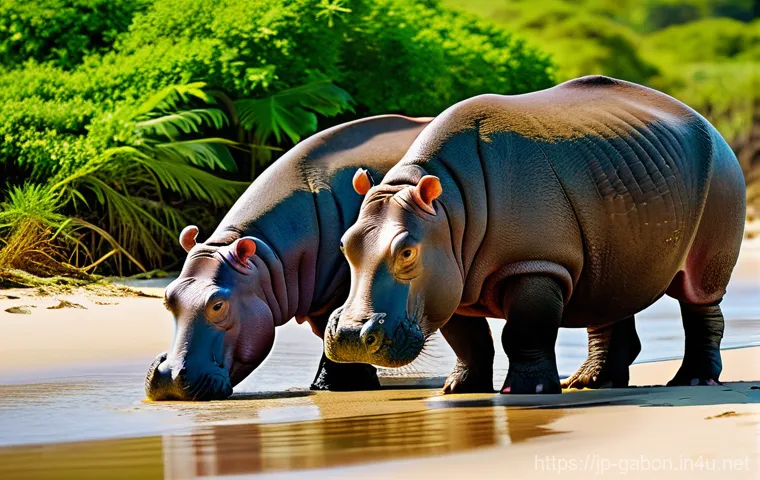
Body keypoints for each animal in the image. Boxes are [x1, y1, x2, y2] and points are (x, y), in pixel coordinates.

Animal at [145, 114, 431, 400]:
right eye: (168, 297)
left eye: (217, 304)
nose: (169, 378)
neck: (264, 259)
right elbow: (328, 333)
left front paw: (341, 385)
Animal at [325, 76, 746, 395]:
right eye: (343, 246)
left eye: (407, 253)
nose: (349, 337)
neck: (447, 212)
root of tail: (708, 122)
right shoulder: (448, 274)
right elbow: (467, 339)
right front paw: (459, 389)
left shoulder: (535, 263)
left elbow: (524, 330)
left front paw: (528, 391)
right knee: (610, 288)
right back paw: (591, 384)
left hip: (722, 174)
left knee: (698, 292)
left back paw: (693, 380)